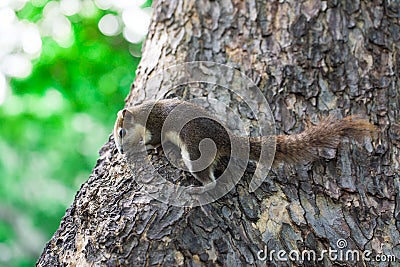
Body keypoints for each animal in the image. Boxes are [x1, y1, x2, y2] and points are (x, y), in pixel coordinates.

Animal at [113, 99, 376, 189]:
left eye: (122, 132)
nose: (120, 151)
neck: (143, 112)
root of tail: (226, 138)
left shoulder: (157, 125)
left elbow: (155, 139)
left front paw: (148, 147)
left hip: (193, 148)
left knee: (208, 178)